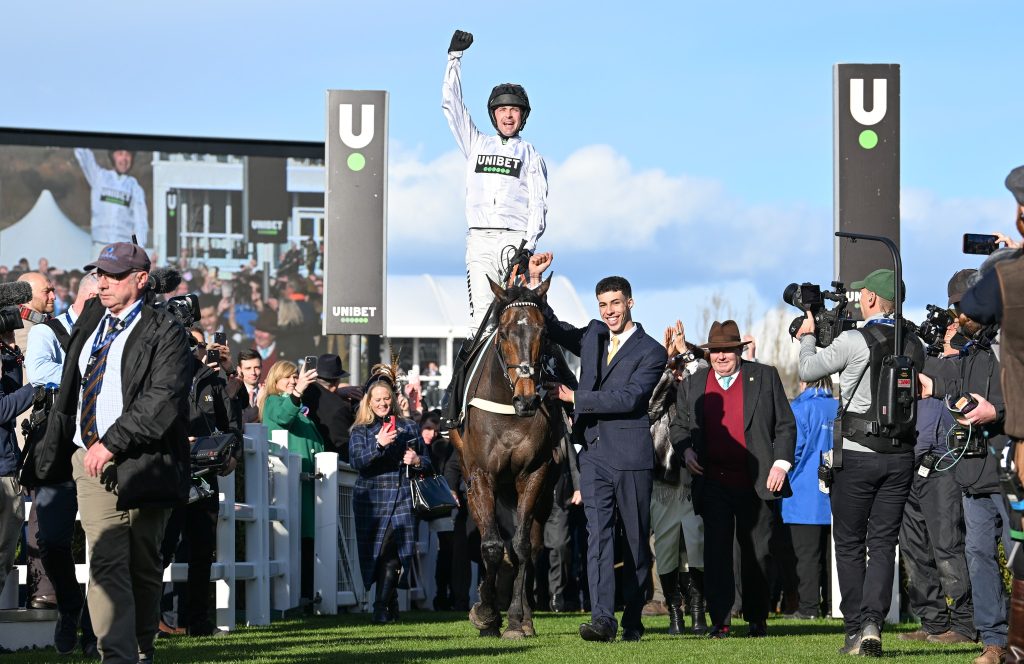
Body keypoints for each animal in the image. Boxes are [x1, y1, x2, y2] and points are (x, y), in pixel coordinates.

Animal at [450, 274, 561, 639]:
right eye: (505, 333)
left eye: (543, 332)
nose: (527, 400)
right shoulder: (482, 475)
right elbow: (491, 545)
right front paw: (485, 612)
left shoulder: (534, 473)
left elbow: (522, 545)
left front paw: (514, 619)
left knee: (530, 545)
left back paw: (523, 618)